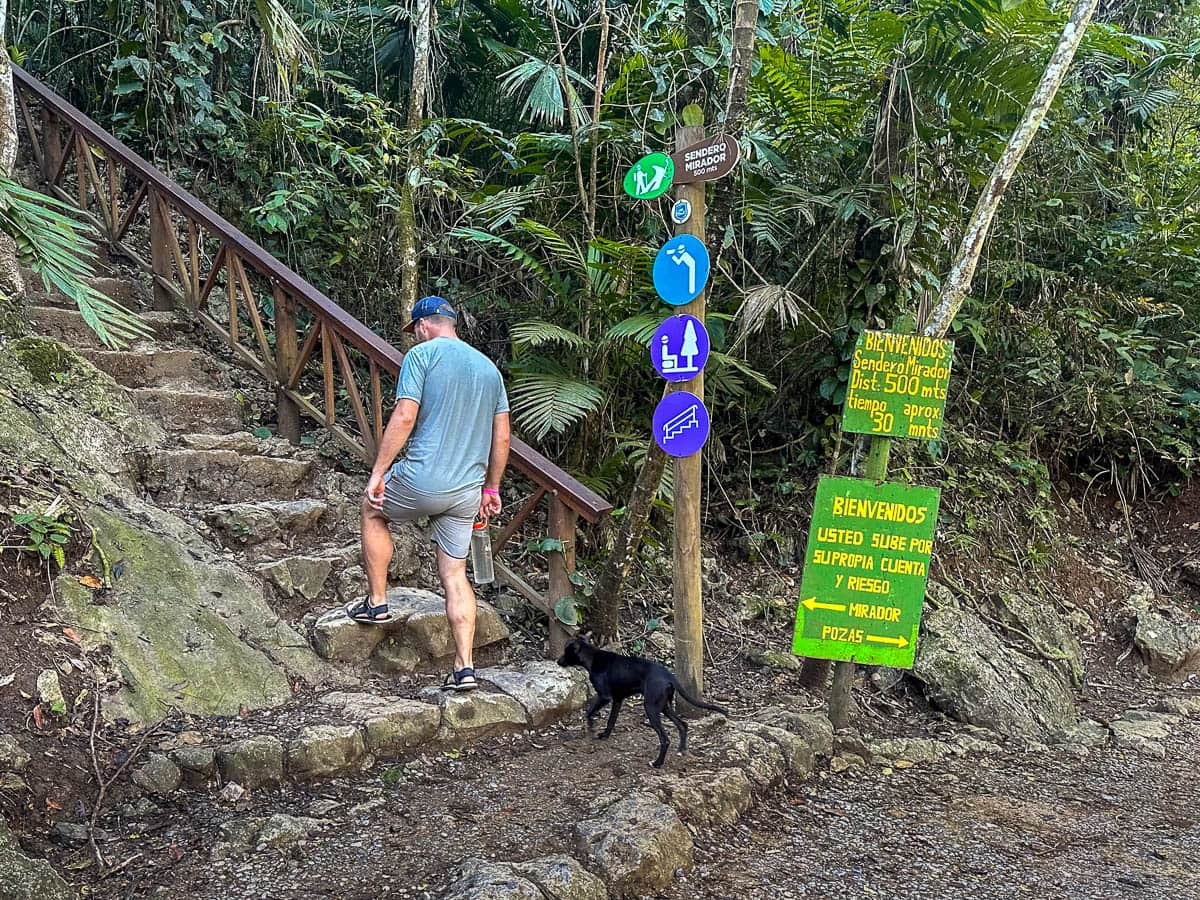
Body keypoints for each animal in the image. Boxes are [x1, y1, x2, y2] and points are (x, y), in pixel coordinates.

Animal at [554, 633, 729, 768]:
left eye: (565, 651)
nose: (557, 661)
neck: (592, 657)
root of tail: (669, 676)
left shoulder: (605, 696)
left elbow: (589, 711)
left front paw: (591, 727)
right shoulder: (617, 699)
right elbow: (611, 720)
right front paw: (604, 735)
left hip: (651, 707)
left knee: (665, 739)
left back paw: (657, 763)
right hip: (664, 706)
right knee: (683, 725)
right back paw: (682, 750)